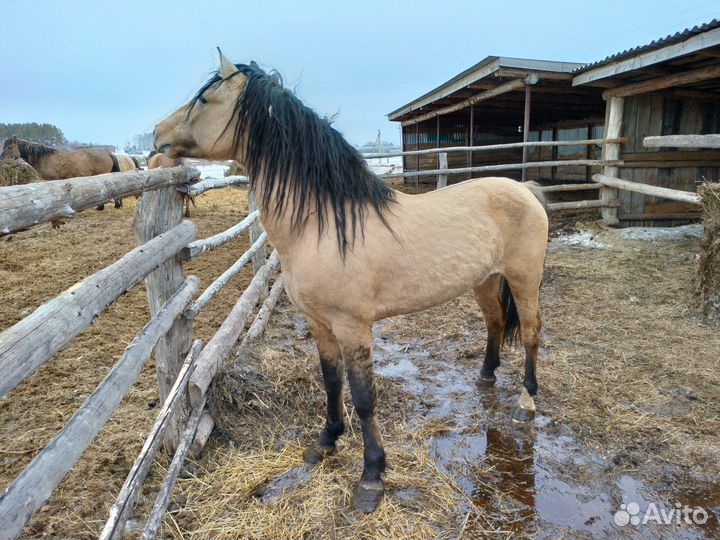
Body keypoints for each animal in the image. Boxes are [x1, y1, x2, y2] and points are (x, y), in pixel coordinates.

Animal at [153, 51, 548, 513]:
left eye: (204, 99)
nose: (157, 134)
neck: (322, 224)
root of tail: (524, 188)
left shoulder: (353, 326)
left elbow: (363, 397)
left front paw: (371, 477)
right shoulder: (320, 324)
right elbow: (331, 382)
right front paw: (324, 442)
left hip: (524, 279)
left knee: (531, 333)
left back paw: (525, 402)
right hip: (484, 280)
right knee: (494, 322)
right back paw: (485, 377)